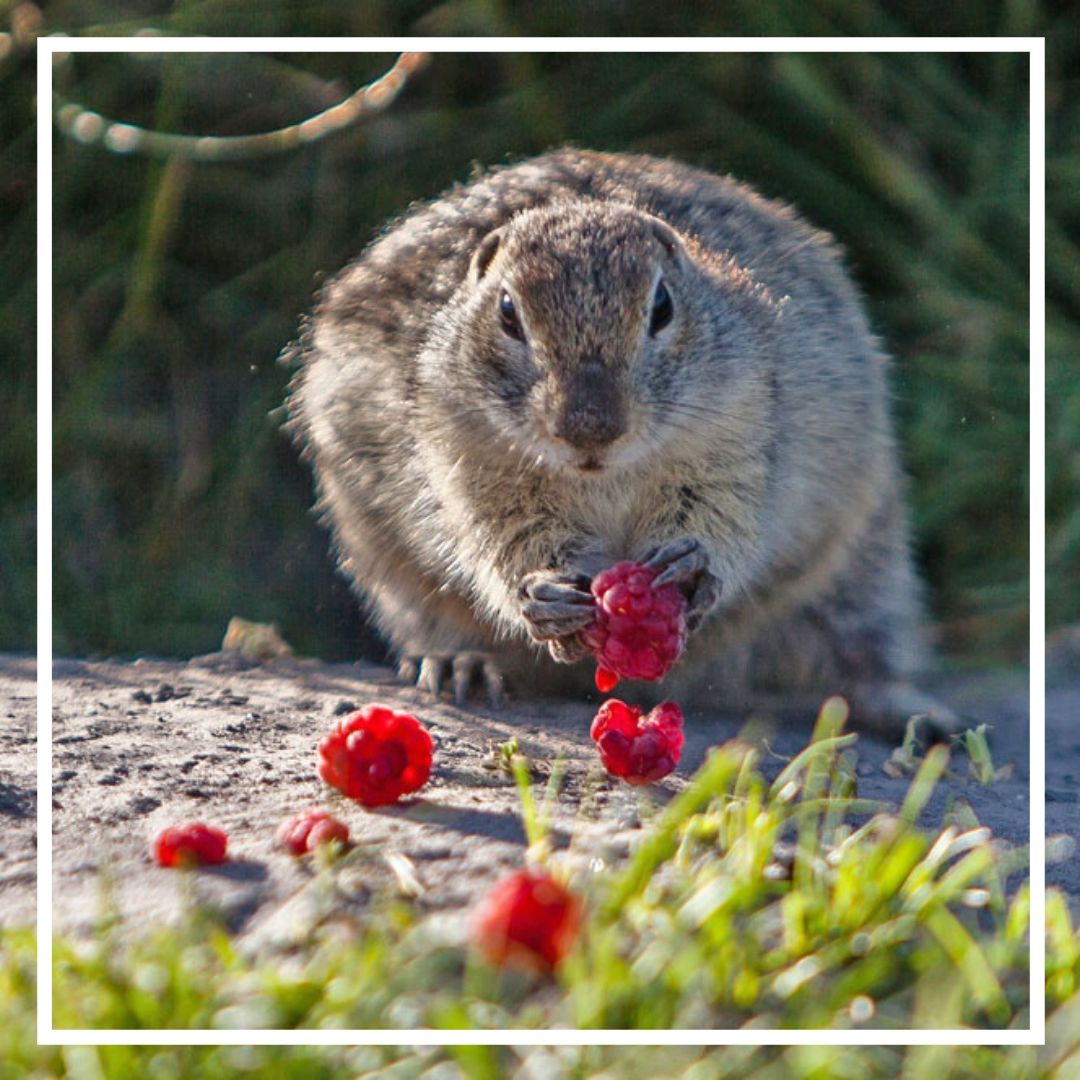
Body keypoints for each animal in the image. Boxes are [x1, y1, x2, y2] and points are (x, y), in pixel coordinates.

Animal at [282, 145, 959, 734]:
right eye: (507, 313)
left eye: (661, 307)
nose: (590, 429)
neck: (604, 477)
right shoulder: (465, 463)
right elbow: (500, 541)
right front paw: (541, 591)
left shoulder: (737, 436)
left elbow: (728, 520)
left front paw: (692, 566)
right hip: (394, 577)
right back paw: (462, 666)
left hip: (861, 567)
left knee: (855, 652)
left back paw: (911, 713)